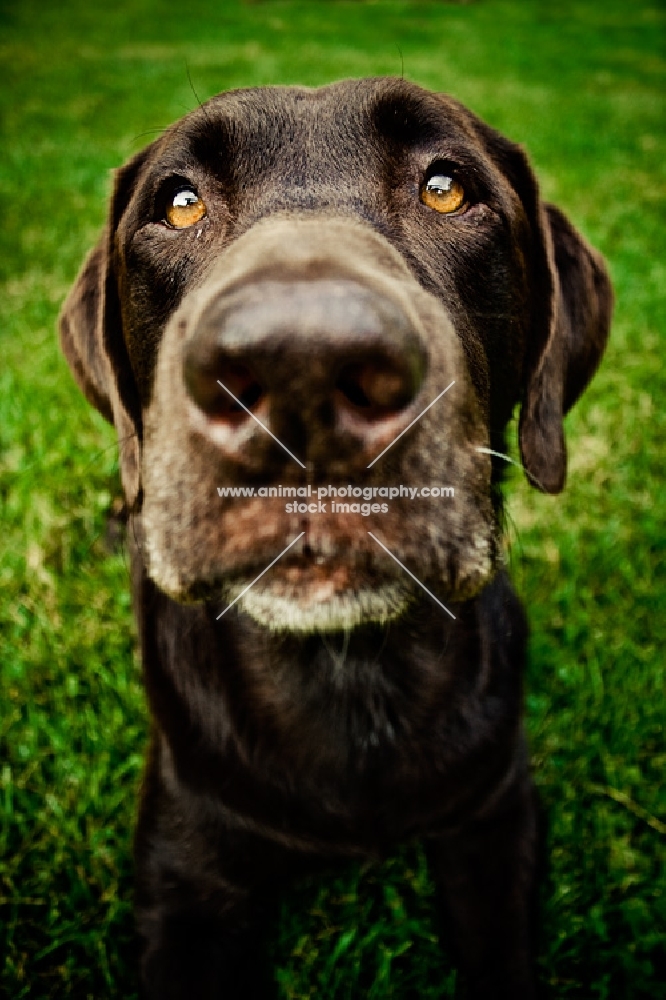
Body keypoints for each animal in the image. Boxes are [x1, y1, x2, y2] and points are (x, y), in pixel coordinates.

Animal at [59, 80, 608, 1000]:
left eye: (446, 187)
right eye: (179, 204)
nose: (301, 366)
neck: (349, 669)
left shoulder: (497, 818)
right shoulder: (185, 867)